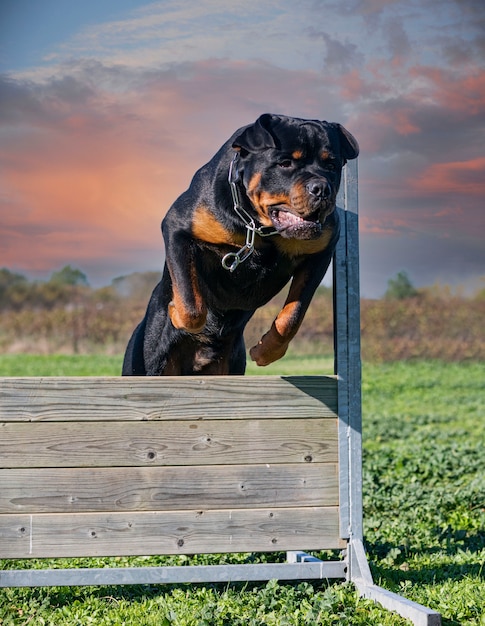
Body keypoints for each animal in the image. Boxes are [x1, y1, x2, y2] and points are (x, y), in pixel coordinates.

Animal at [123, 114, 358, 372]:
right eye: (285, 163)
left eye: (331, 166)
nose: (322, 188)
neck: (260, 228)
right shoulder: (177, 227)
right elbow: (191, 303)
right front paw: (175, 311)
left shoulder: (322, 250)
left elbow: (293, 314)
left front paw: (266, 351)